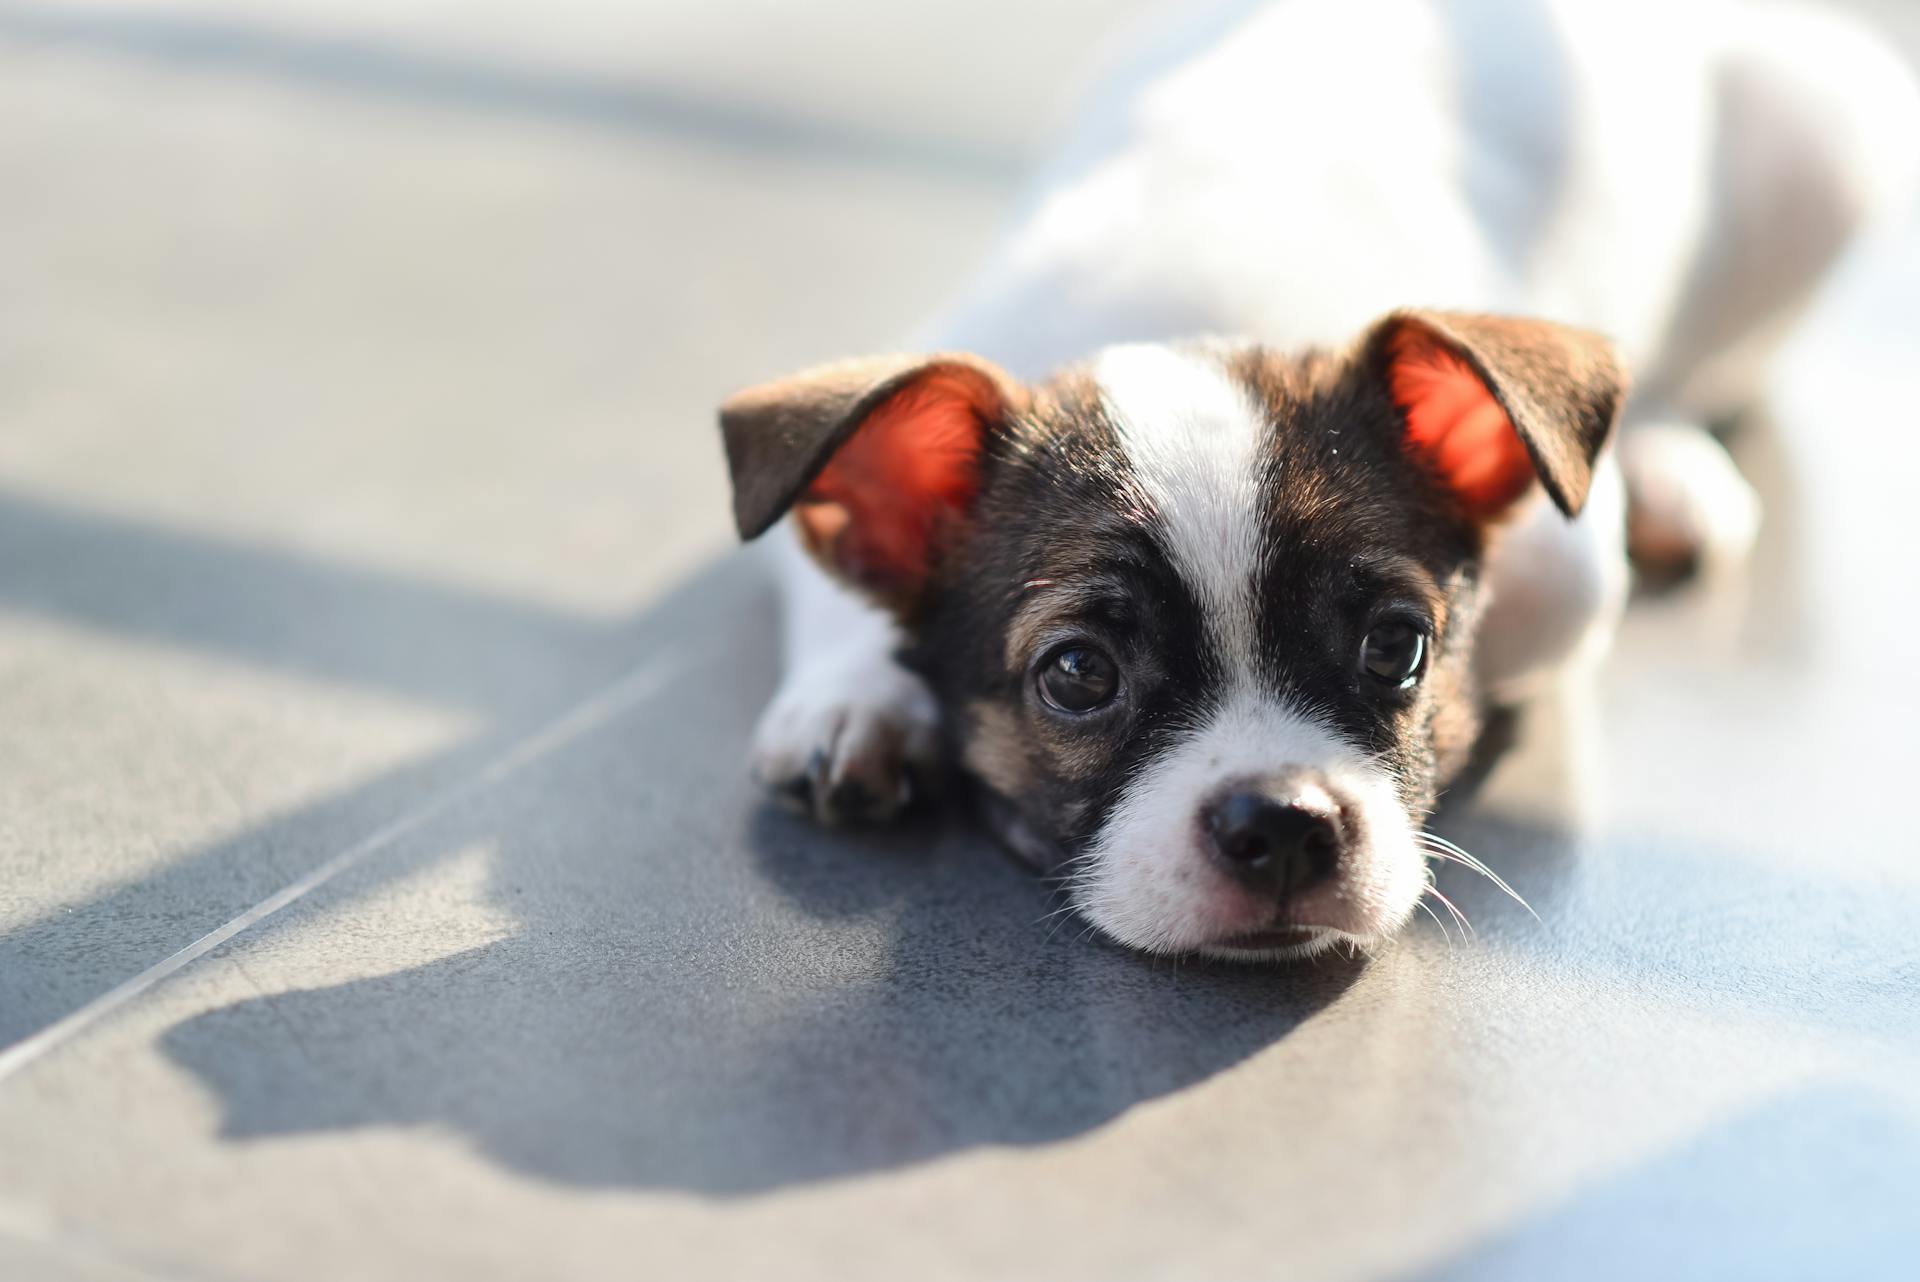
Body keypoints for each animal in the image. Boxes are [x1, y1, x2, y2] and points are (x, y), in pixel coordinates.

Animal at [714, 0, 1912, 955]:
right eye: (1077, 675)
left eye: (1398, 648)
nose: (1281, 819)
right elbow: (831, 588)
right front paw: (857, 703)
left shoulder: (1567, 566)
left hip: (1826, 156)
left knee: (1706, 361)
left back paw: (1665, 457)